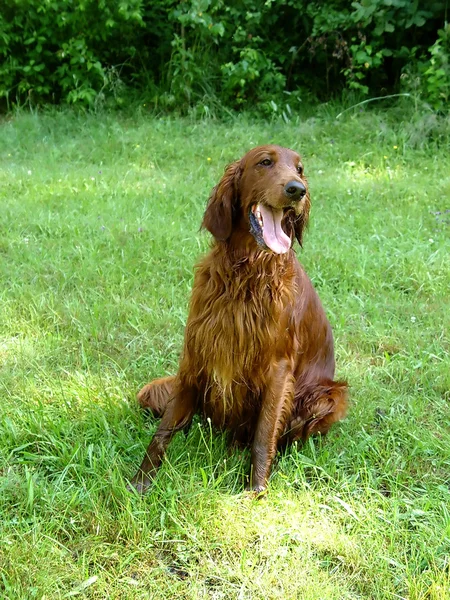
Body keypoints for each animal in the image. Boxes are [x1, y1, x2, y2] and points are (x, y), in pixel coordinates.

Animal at [130, 145, 348, 492]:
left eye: (300, 169)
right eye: (265, 162)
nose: (297, 190)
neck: (246, 271)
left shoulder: (278, 368)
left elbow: (264, 435)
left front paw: (256, 492)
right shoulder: (195, 354)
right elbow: (163, 430)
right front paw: (141, 482)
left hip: (328, 397)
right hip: (154, 390)